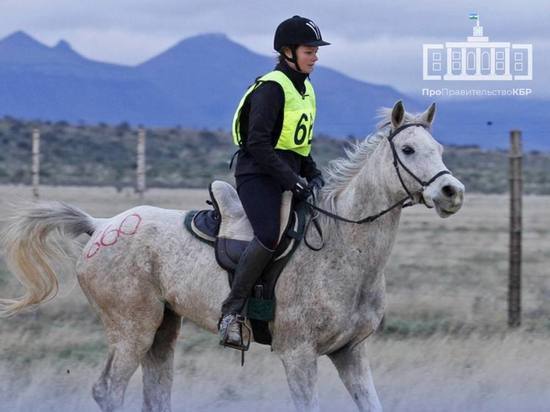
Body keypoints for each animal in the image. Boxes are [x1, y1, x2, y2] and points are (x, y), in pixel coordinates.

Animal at [0, 100, 466, 412]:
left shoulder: (351, 352)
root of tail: (101, 226)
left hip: (162, 330)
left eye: (440, 149)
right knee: (108, 390)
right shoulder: (298, 355)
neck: (344, 245)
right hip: (132, 328)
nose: (452, 192)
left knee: (155, 393)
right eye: (408, 150)